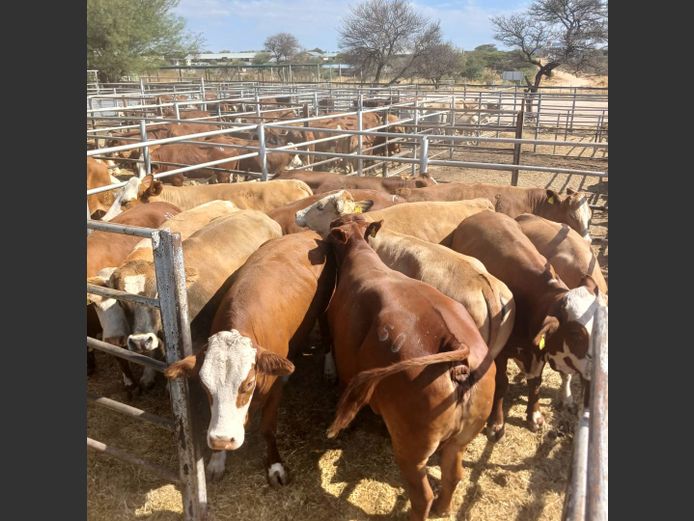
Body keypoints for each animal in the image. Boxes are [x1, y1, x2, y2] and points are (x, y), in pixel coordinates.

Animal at [165, 231, 336, 484]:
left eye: (248, 384)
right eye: (205, 386)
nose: (222, 439)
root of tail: (308, 232)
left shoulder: (273, 390)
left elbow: (267, 428)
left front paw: (275, 465)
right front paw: (217, 459)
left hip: (326, 306)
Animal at [321, 216, 496, 520]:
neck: (361, 254)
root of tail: (456, 345)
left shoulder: (344, 362)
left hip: (411, 449)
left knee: (421, 495)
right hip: (460, 439)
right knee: (454, 475)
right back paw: (443, 509)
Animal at [449, 211, 606, 439]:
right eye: (576, 334)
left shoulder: (537, 352)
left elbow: (536, 382)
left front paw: (535, 416)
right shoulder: (501, 352)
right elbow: (501, 383)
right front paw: (496, 423)